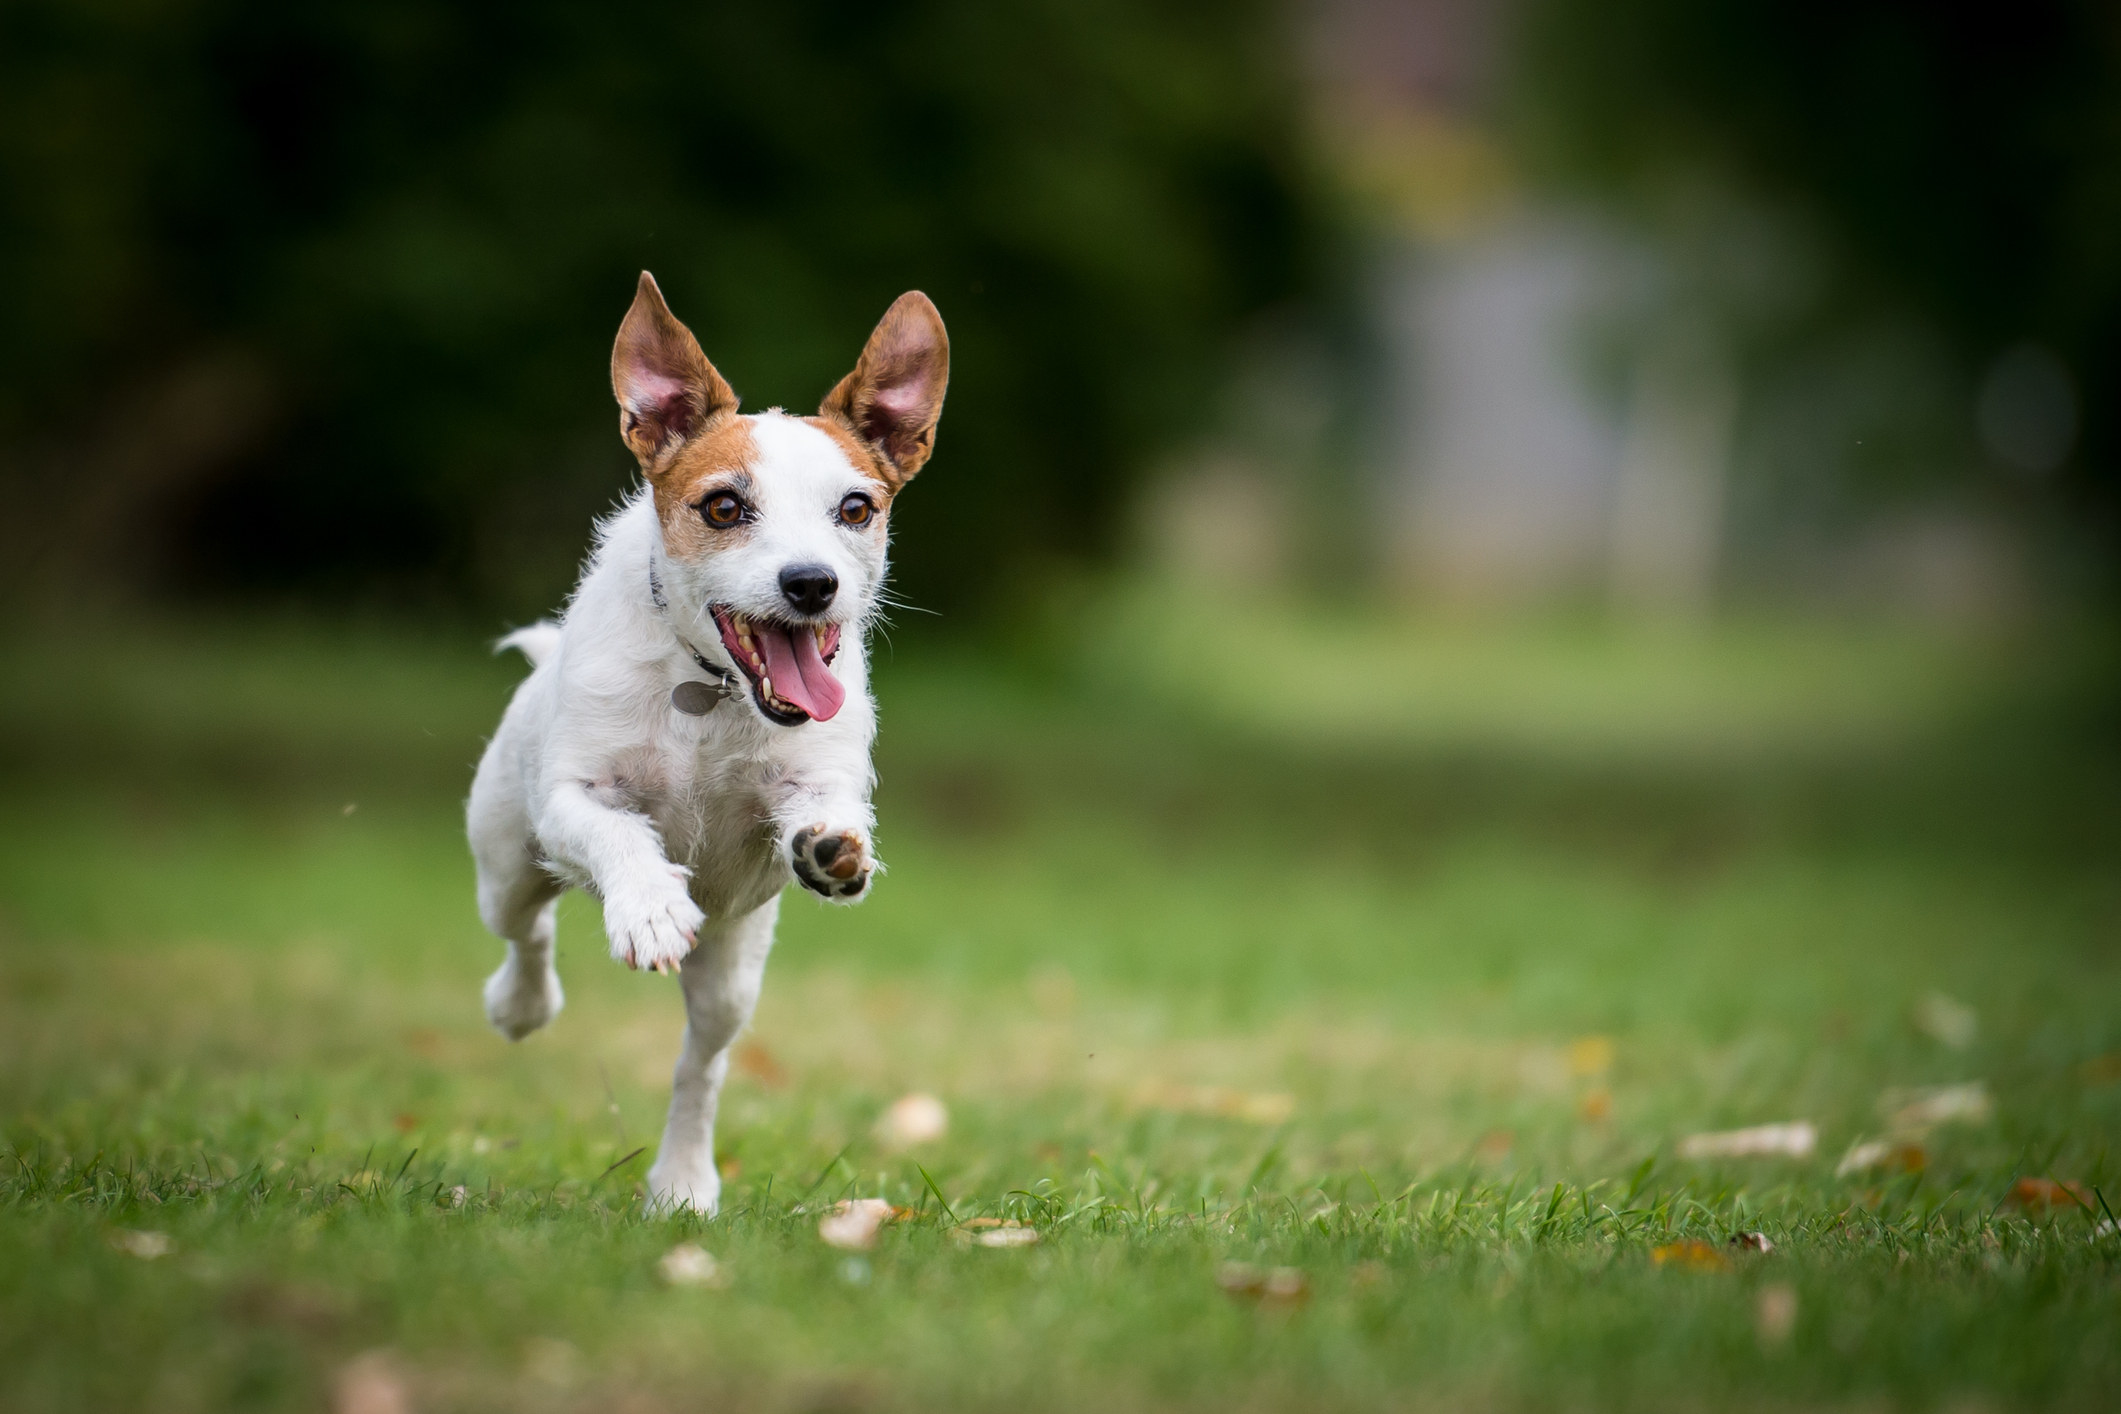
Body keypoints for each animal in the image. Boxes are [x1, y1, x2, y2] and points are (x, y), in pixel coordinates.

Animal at [472, 273, 954, 1221]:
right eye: (723, 506)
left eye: (856, 508)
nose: (812, 584)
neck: (709, 687)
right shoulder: (571, 797)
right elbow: (615, 832)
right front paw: (649, 906)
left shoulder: (812, 778)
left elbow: (821, 809)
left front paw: (833, 848)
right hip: (505, 856)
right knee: (527, 929)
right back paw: (521, 1005)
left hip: (733, 971)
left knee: (700, 1067)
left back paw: (683, 1183)